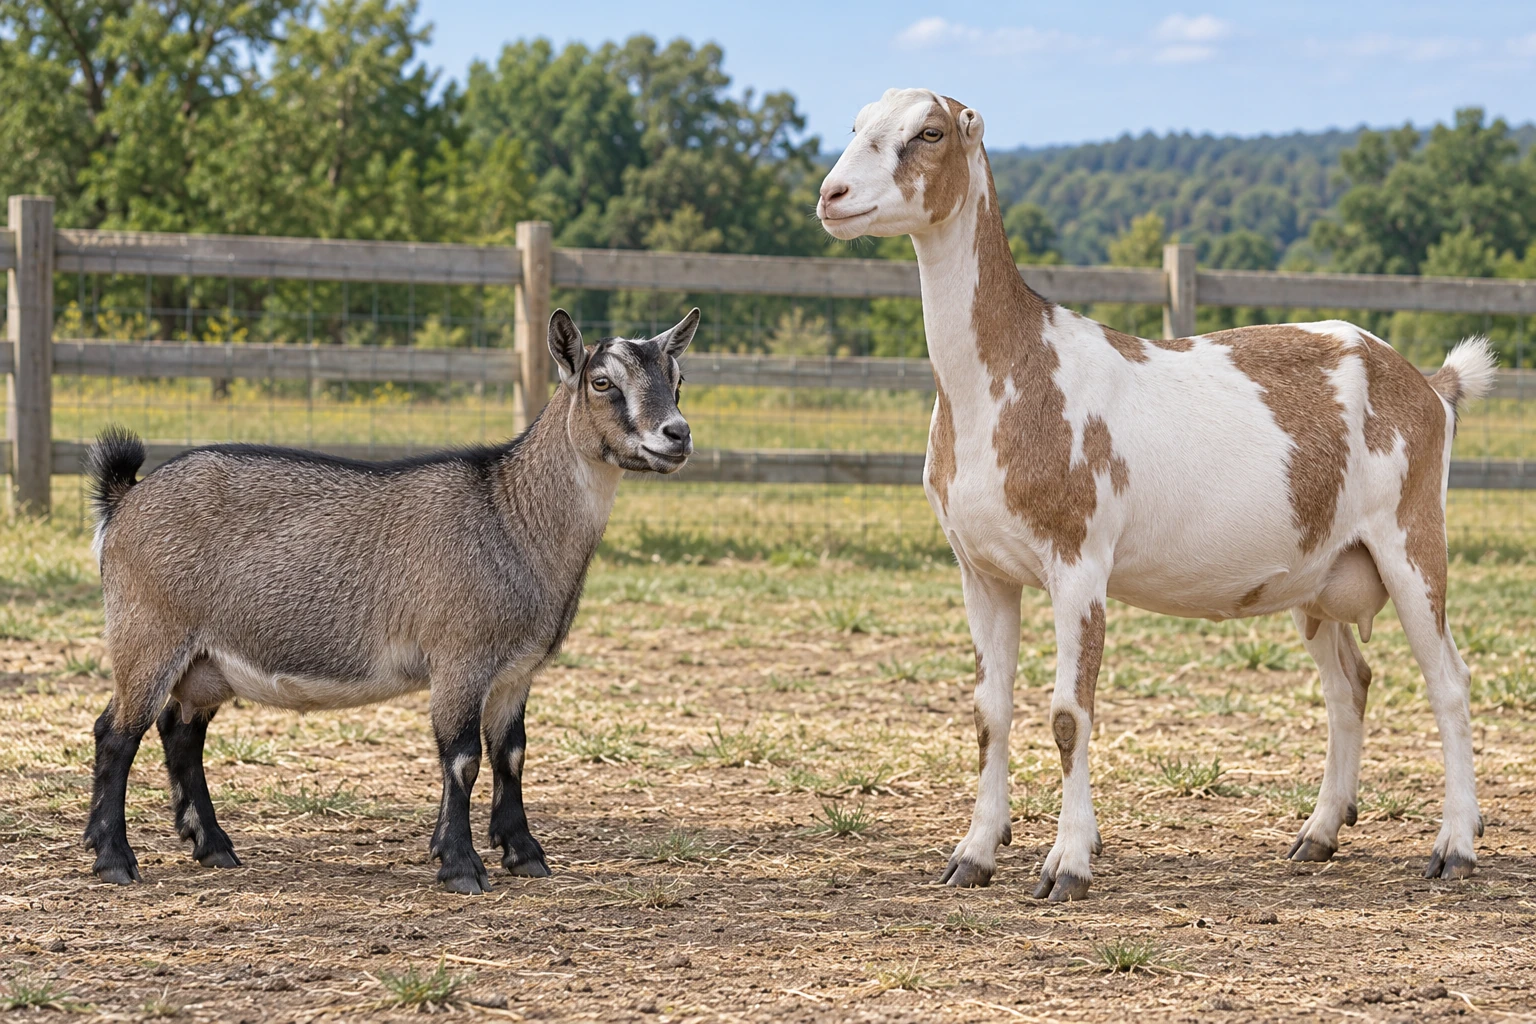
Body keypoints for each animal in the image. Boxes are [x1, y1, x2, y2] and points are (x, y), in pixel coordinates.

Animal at [82, 309, 699, 893]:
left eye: (678, 379)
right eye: (602, 382)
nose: (677, 435)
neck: (511, 515)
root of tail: (125, 499)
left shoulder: (515, 671)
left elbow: (512, 754)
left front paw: (523, 854)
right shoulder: (459, 657)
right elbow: (463, 759)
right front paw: (460, 866)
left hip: (206, 661)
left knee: (180, 731)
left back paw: (212, 845)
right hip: (148, 632)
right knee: (117, 733)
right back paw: (114, 858)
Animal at [818, 88, 1497, 900]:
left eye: (929, 132)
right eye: (856, 125)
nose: (833, 195)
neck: (1013, 374)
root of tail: (1427, 383)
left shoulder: (1078, 562)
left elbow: (1069, 715)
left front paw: (1067, 864)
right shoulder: (980, 570)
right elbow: (988, 713)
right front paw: (974, 853)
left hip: (1412, 536)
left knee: (1449, 682)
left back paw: (1454, 846)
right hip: (1321, 569)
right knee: (1349, 686)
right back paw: (1319, 832)